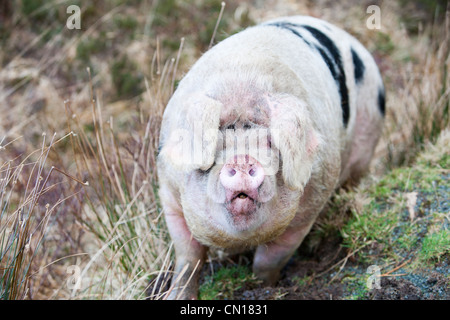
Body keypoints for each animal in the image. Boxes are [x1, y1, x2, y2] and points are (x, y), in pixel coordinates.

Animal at [156, 15, 384, 300]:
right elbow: (188, 257)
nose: (242, 160)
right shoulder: (169, 193)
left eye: (269, 143)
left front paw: (263, 287)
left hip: (367, 142)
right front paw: (177, 296)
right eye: (217, 144)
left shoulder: (309, 208)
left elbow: (269, 260)